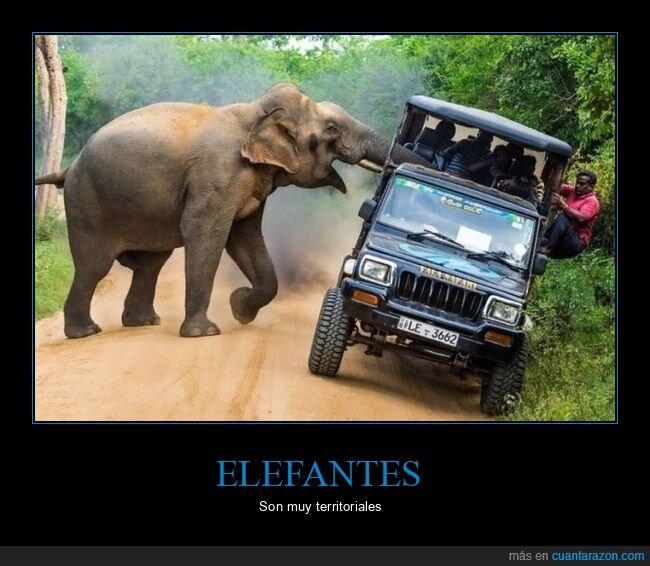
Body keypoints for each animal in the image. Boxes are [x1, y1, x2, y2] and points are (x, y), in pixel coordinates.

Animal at [35, 83, 432, 339]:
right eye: (331, 129)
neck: (255, 113)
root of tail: (69, 168)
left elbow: (245, 238)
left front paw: (239, 309)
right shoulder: (218, 174)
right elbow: (206, 234)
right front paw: (205, 332)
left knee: (151, 264)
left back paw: (144, 323)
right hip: (88, 203)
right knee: (95, 266)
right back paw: (86, 332)